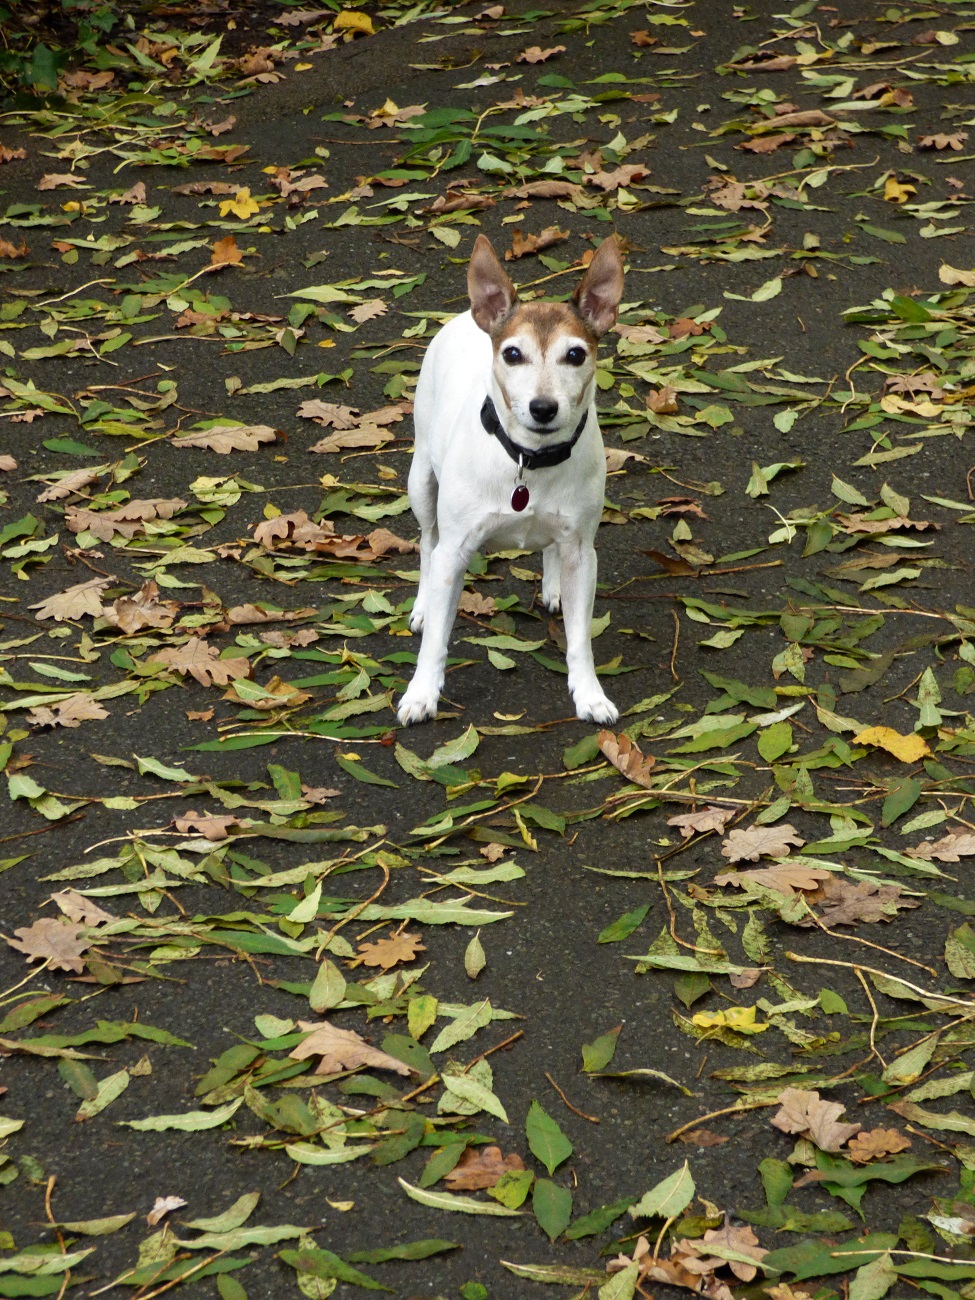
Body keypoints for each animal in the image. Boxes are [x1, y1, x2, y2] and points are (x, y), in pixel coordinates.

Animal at [397, 239, 626, 728]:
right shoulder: (455, 552)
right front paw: (421, 693)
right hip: (421, 481)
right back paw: (423, 604)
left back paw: (554, 588)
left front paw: (589, 694)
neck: (530, 461)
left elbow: (580, 639)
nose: (543, 407)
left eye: (575, 355)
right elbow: (435, 640)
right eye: (512, 354)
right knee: (427, 541)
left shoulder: (582, 552)